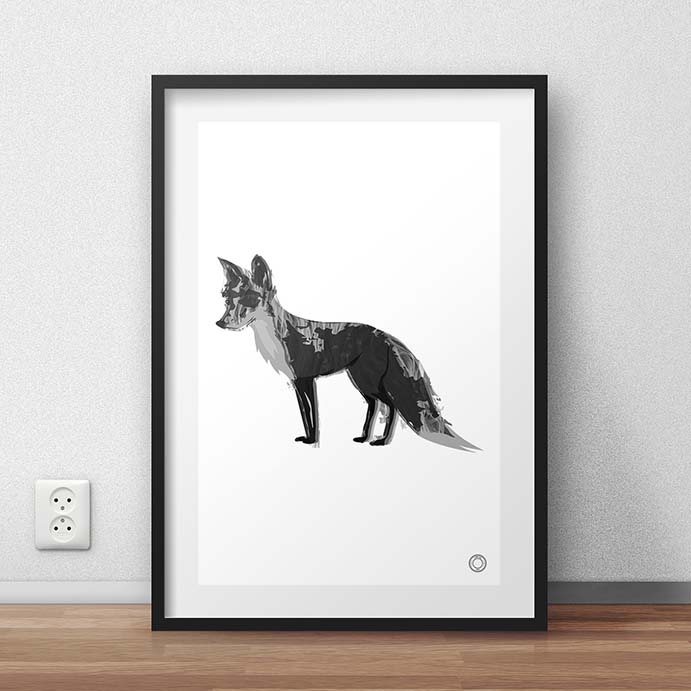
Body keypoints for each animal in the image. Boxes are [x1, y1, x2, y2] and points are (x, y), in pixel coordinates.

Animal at [216, 255, 479, 451]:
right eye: (228, 299)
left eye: (250, 299)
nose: (221, 323)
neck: (278, 336)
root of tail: (385, 335)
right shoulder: (297, 383)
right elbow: (305, 414)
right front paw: (308, 439)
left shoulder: (305, 380)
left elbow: (312, 416)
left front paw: (312, 441)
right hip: (361, 380)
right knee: (375, 405)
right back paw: (364, 437)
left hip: (366, 380)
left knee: (390, 406)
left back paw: (381, 441)